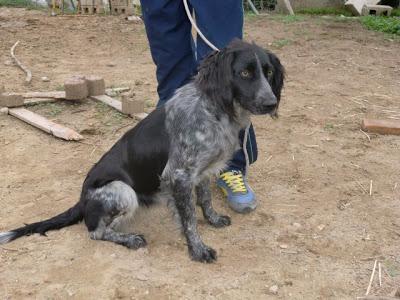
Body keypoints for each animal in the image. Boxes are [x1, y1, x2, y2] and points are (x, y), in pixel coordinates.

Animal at [0, 39, 284, 262]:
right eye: (244, 73)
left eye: (268, 72)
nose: (271, 103)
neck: (215, 110)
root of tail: (81, 200)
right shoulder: (179, 175)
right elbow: (189, 220)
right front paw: (198, 250)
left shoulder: (202, 170)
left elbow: (204, 200)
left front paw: (213, 220)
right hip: (122, 191)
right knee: (95, 232)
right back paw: (130, 239)